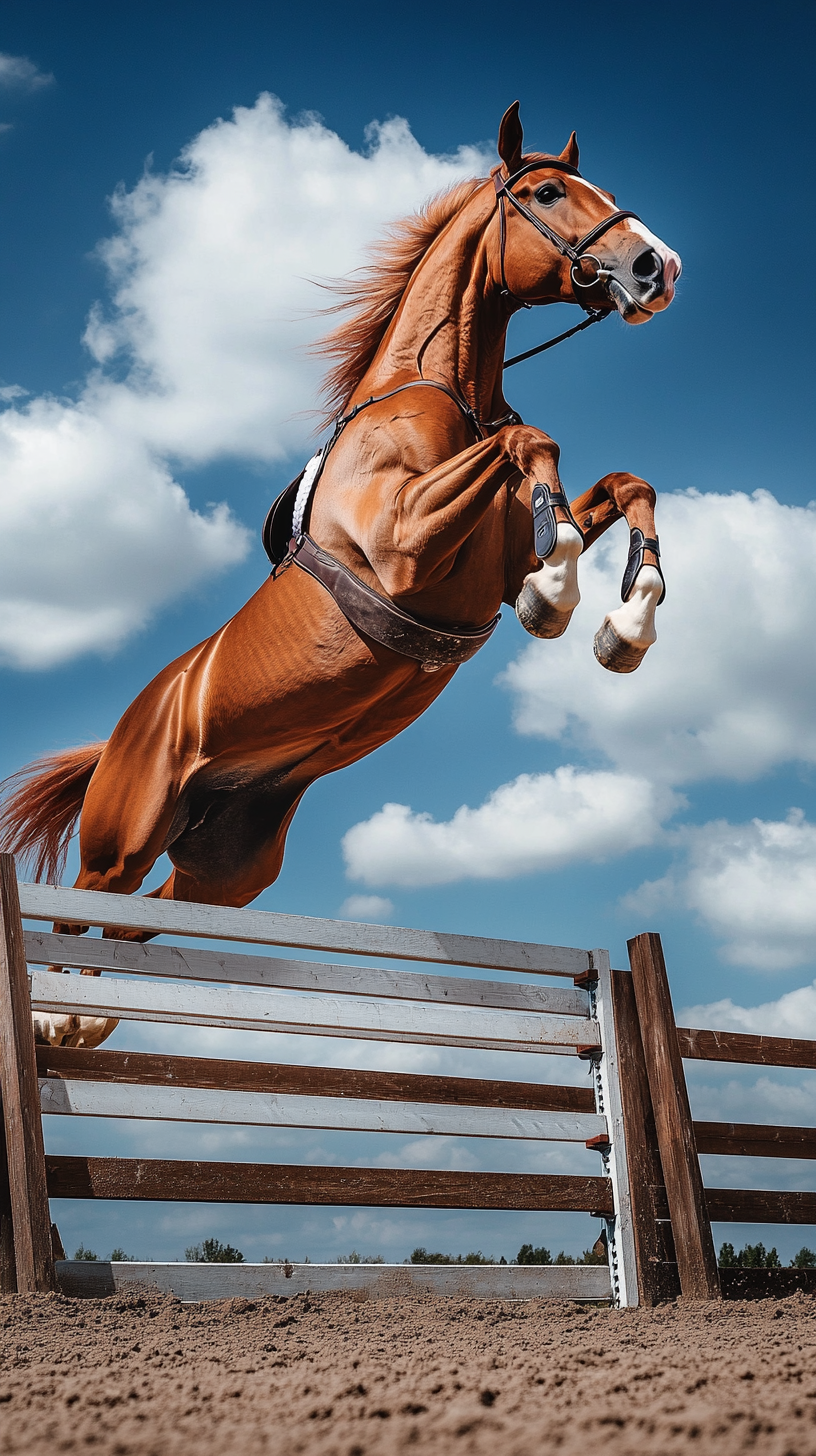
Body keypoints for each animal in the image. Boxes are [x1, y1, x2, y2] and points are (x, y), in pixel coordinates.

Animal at [0, 103, 680, 1047]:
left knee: (150, 919)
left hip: (231, 864)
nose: (659, 267)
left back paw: (87, 1021)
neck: (442, 387)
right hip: (123, 834)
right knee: (85, 910)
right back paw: (57, 1017)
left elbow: (623, 484)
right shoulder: (404, 546)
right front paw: (558, 598)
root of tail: (120, 735)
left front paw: (627, 626)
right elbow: (530, 442)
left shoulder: (490, 556)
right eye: (548, 192)